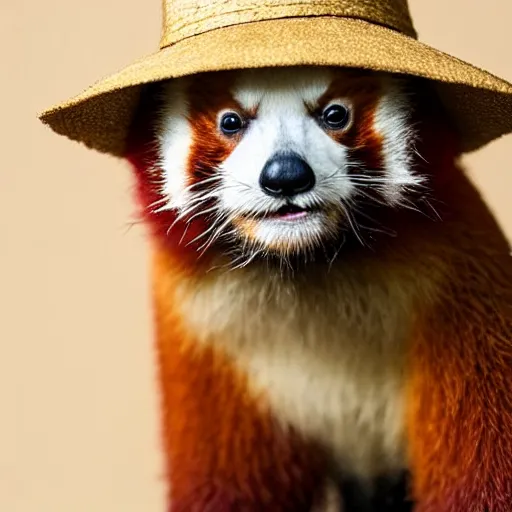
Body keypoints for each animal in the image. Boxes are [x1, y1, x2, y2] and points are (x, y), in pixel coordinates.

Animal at [124, 68, 512, 512]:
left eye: (335, 114)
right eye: (230, 122)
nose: (285, 176)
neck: (307, 267)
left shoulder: (466, 299)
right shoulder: (204, 342)